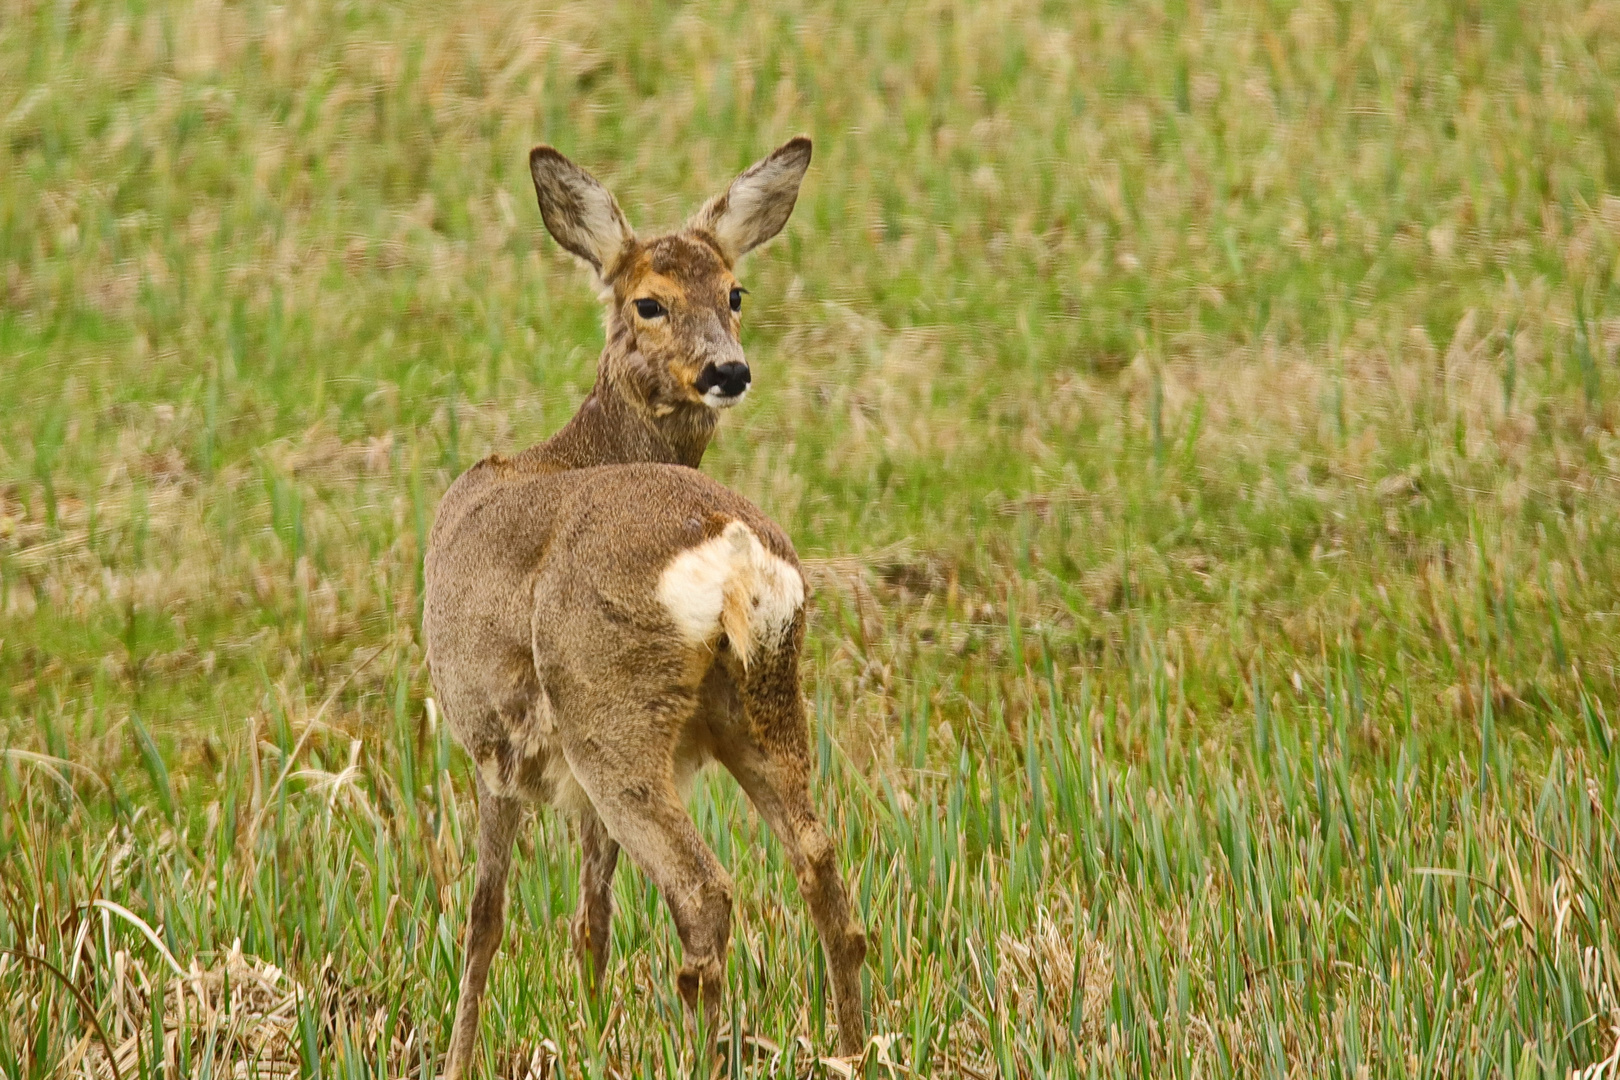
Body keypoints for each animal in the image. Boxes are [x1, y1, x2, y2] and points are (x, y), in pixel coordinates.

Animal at [424, 139, 868, 1075]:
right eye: (650, 301)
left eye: (734, 292)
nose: (728, 370)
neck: (573, 445)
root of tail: (730, 550)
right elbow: (591, 917)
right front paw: (591, 1029)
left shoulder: (492, 743)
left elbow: (485, 920)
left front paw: (460, 1056)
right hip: (764, 698)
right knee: (823, 870)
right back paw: (856, 1048)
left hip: (610, 709)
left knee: (703, 894)